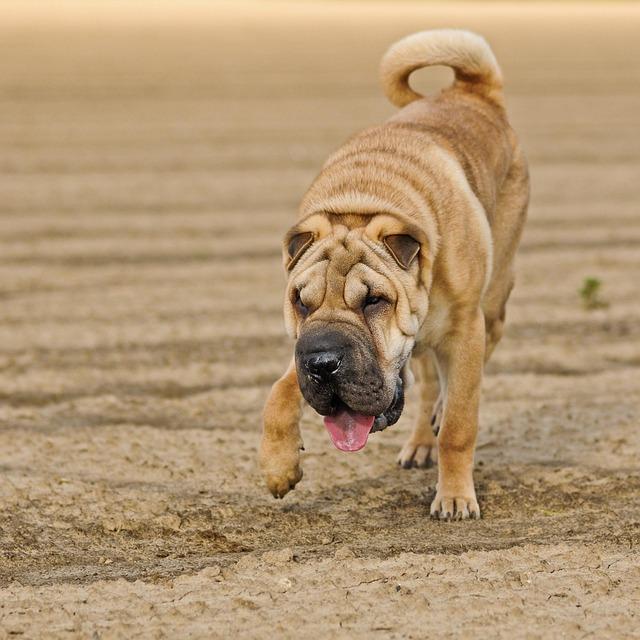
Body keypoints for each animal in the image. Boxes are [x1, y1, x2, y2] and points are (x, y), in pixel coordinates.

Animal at [258, 28, 528, 520]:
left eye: (374, 300)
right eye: (300, 302)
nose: (323, 363)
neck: (362, 204)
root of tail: (471, 89)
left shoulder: (465, 329)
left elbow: (460, 424)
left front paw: (455, 497)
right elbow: (279, 392)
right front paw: (278, 468)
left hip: (493, 300)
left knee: (466, 370)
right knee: (426, 384)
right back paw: (420, 442)